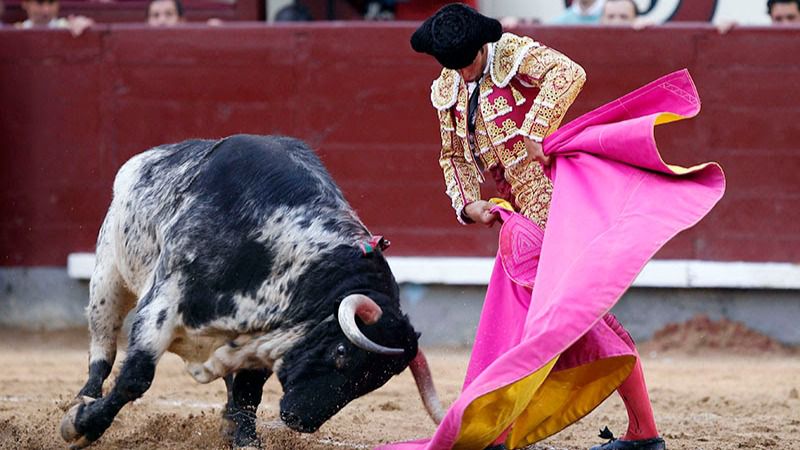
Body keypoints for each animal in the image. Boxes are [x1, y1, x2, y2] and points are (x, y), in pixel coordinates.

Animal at [59, 135, 444, 448]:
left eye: (370, 384)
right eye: (340, 354)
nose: (301, 421)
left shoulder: (265, 335)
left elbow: (247, 392)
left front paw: (243, 437)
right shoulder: (163, 303)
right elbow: (134, 378)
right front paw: (82, 426)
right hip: (107, 277)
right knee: (103, 352)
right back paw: (83, 399)